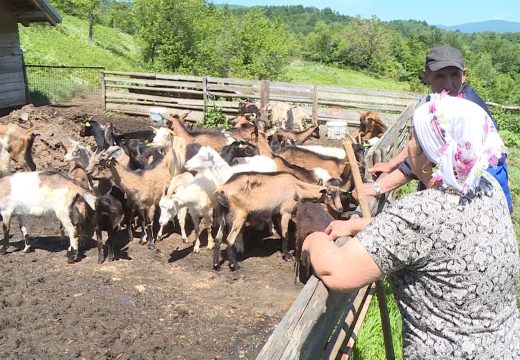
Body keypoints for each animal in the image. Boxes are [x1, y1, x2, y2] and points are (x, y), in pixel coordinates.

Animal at [213, 172, 344, 270]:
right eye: (330, 194)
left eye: (340, 194)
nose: (341, 208)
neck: (296, 187)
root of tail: (222, 191)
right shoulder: (285, 212)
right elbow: (285, 234)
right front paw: (287, 256)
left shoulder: (276, 214)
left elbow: (281, 232)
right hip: (239, 215)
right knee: (230, 239)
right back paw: (234, 265)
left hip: (222, 215)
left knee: (218, 239)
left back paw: (216, 265)